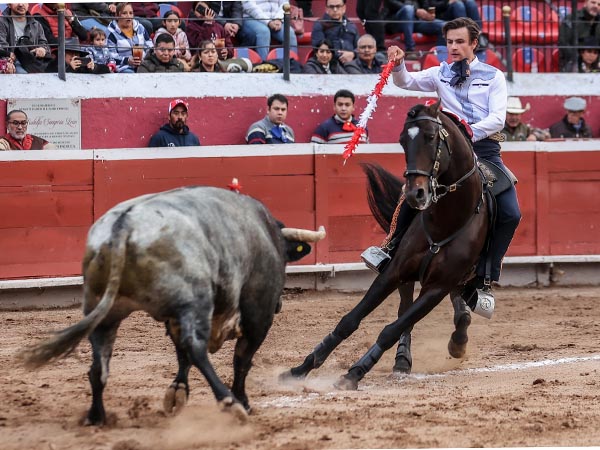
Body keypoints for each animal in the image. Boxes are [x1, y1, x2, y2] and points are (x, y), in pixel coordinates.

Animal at [21, 185, 326, 424]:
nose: (280, 305)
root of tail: (124, 224)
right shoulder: (257, 315)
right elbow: (241, 360)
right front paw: (243, 400)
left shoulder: (173, 318)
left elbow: (183, 356)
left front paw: (178, 392)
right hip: (193, 303)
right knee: (196, 348)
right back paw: (229, 402)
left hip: (106, 308)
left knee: (100, 364)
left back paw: (97, 416)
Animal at [280, 100, 488, 388]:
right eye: (402, 140)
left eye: (431, 137)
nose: (415, 194)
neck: (446, 221)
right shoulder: (395, 271)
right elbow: (350, 320)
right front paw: (303, 367)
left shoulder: (437, 287)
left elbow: (391, 329)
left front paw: (354, 372)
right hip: (409, 276)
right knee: (407, 308)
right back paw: (404, 359)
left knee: (446, 311)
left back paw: (456, 341)